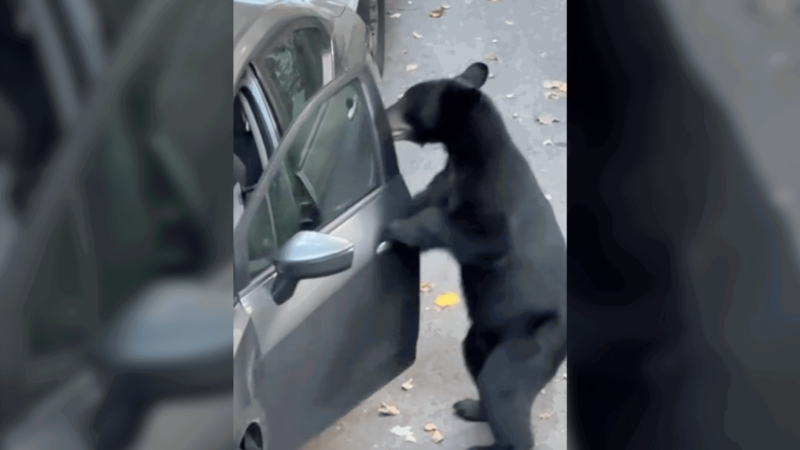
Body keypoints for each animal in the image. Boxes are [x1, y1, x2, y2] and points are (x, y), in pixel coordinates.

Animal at [382, 62, 564, 450]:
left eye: (407, 101)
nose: (385, 116)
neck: (467, 157)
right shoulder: (444, 181)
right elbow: (421, 200)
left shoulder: (494, 208)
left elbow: (465, 233)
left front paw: (397, 228)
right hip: (483, 335)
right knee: (479, 366)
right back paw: (472, 407)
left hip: (531, 342)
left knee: (503, 386)